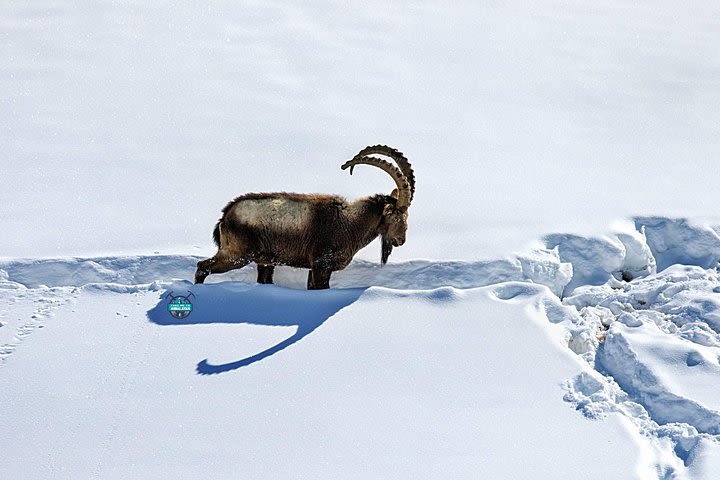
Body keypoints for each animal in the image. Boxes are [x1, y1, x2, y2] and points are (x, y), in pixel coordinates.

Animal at [194, 145, 416, 288]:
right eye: (398, 216)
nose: (401, 240)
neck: (350, 223)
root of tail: (225, 215)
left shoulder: (313, 269)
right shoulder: (321, 265)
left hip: (264, 261)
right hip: (237, 254)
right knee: (202, 267)